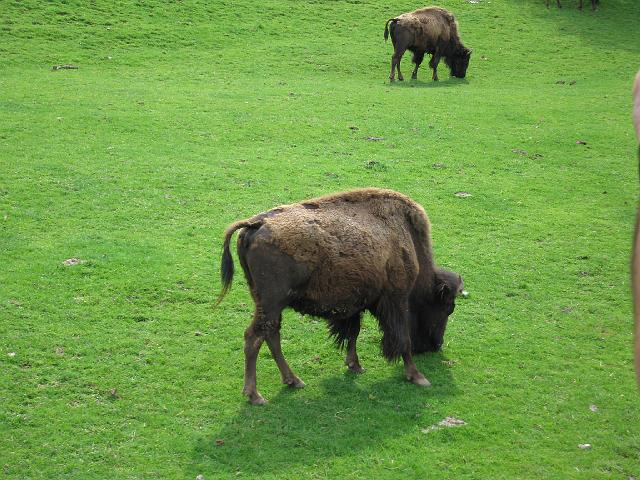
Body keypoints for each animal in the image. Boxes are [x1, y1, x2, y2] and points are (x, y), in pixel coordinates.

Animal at [218, 188, 462, 404]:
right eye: (446, 308)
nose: (436, 345)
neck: (406, 239)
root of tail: (255, 224)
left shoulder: (356, 304)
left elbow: (353, 333)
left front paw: (355, 366)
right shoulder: (397, 300)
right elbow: (403, 339)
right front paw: (418, 377)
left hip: (269, 304)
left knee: (271, 335)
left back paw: (293, 381)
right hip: (271, 303)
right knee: (254, 338)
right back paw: (255, 396)